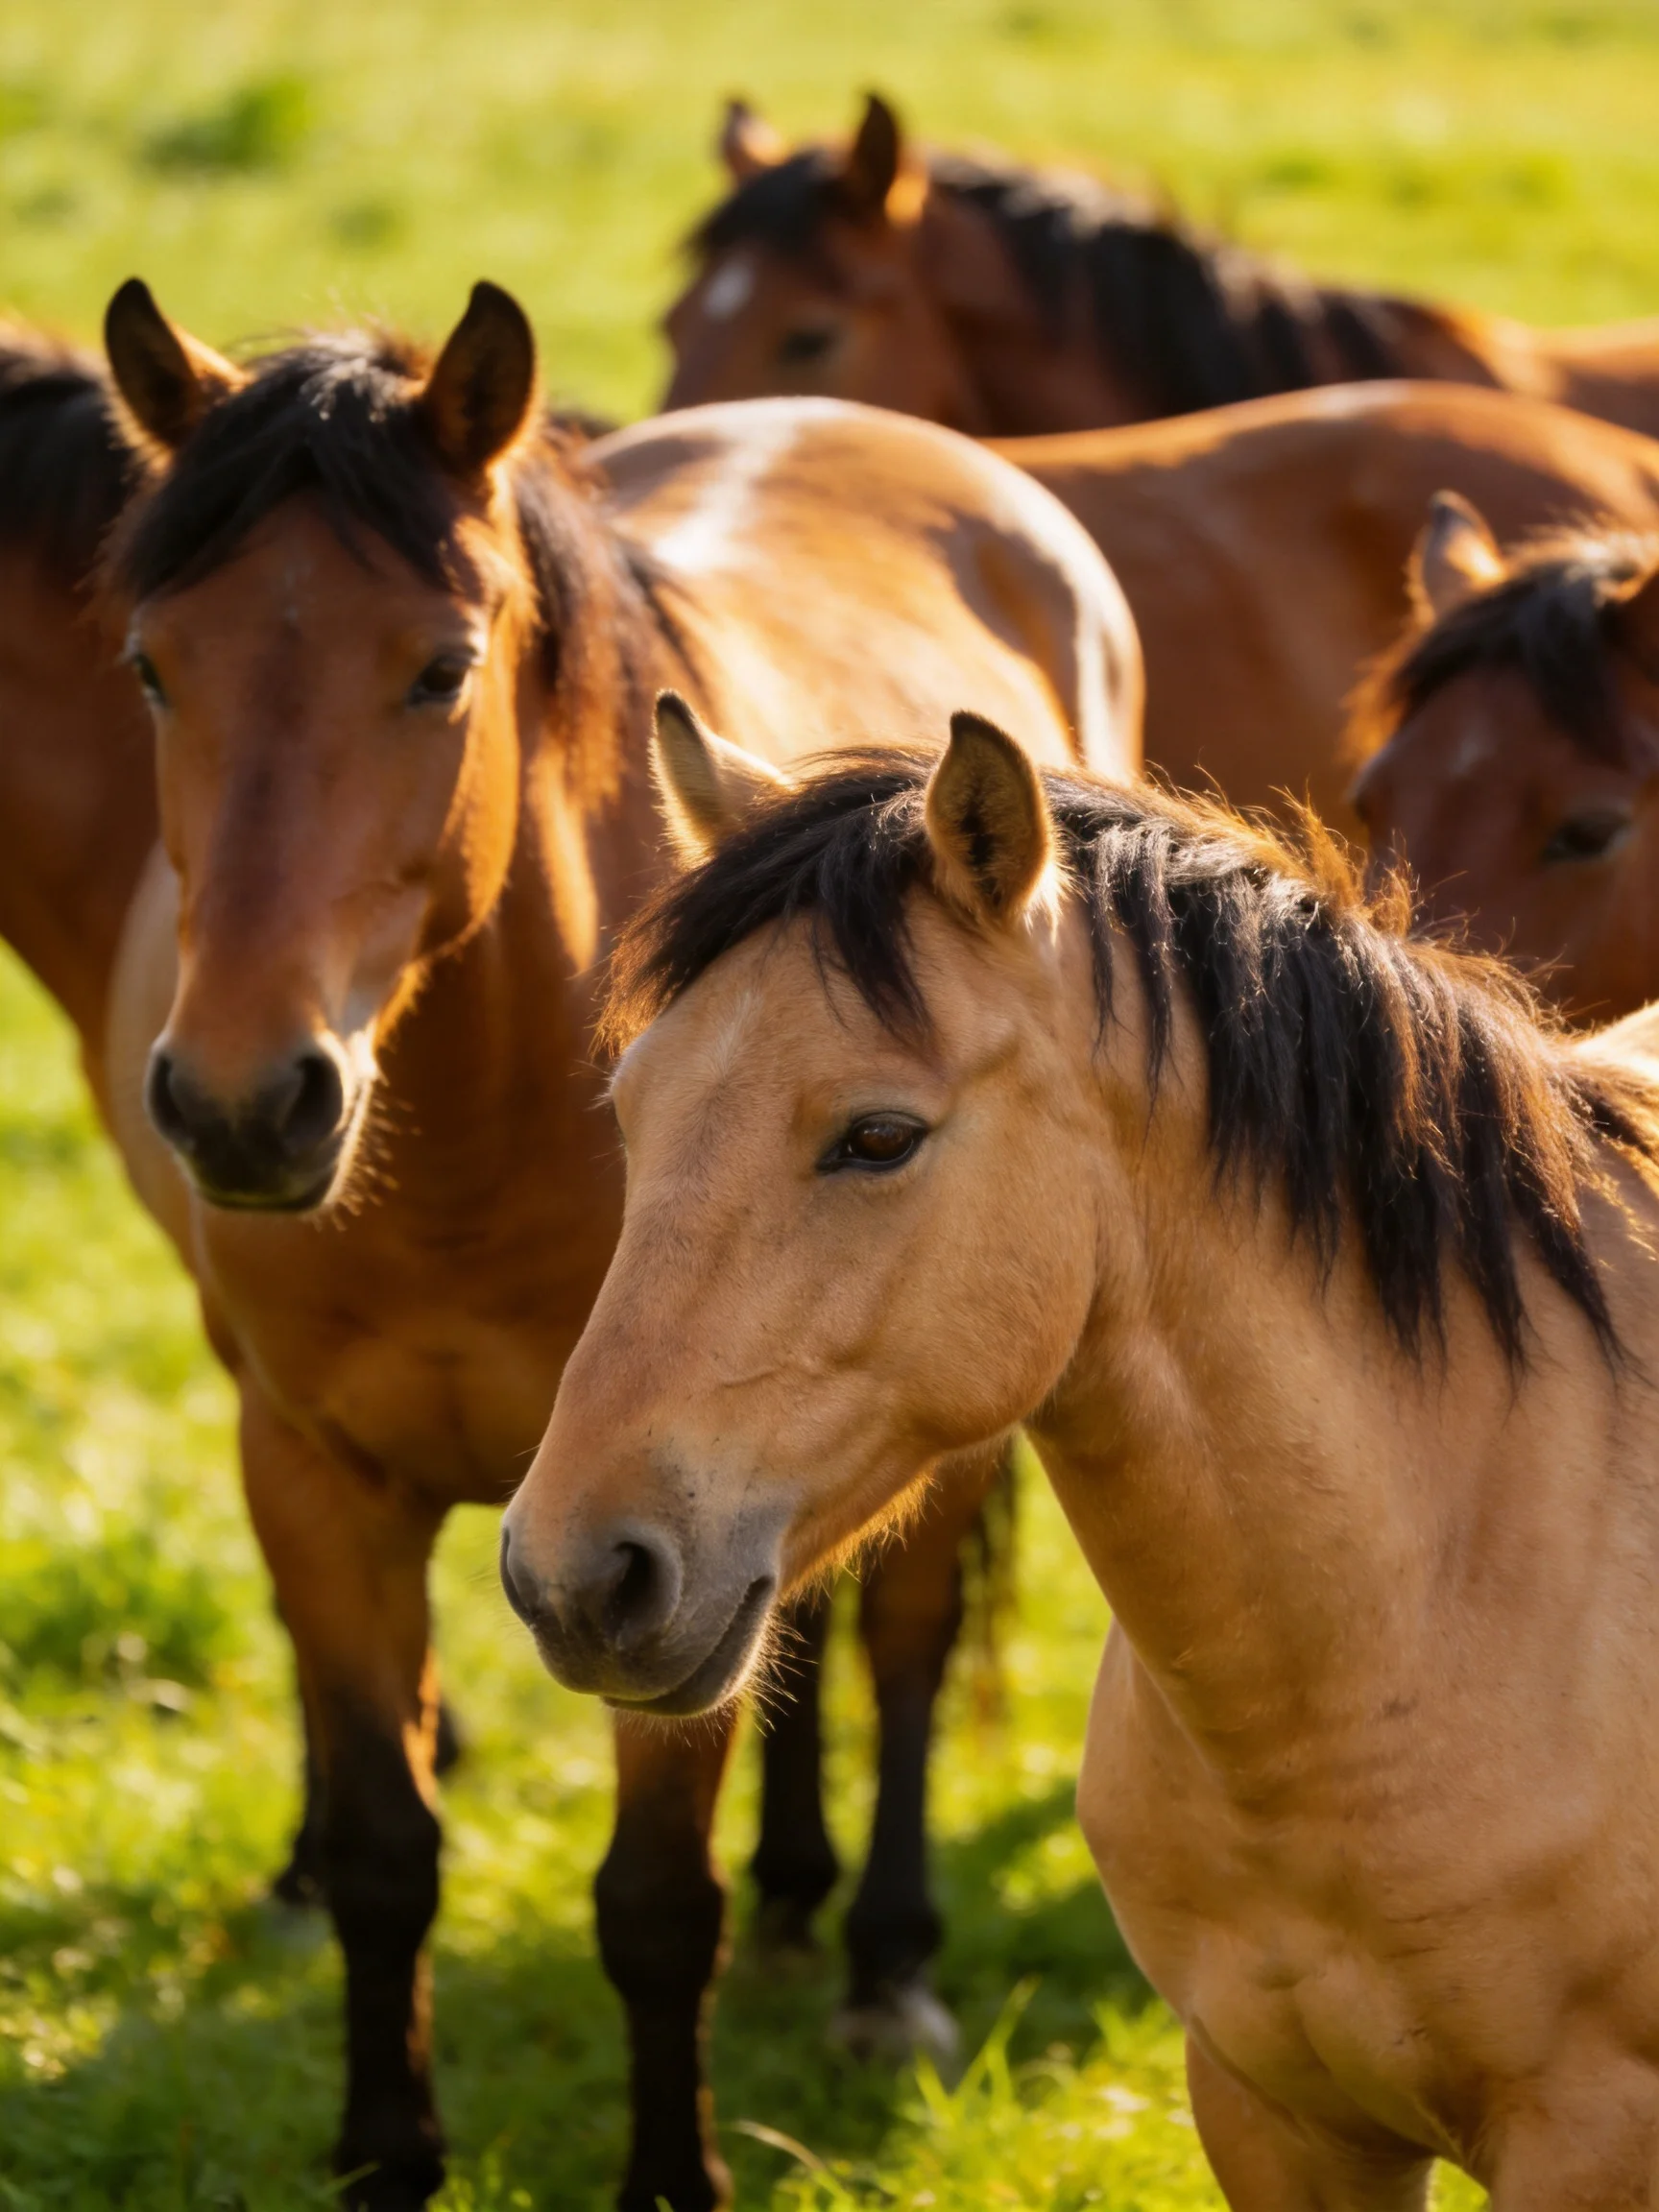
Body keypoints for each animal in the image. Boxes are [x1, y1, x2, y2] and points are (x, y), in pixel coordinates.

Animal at [74, 278, 1137, 2211]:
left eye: (440, 666)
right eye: (151, 667)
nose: (249, 1103)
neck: (464, 1149)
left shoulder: (646, 1539)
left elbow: (652, 1903)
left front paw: (673, 2169)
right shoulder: (324, 1481)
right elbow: (382, 1853)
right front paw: (384, 2153)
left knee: (904, 1634)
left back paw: (879, 1961)